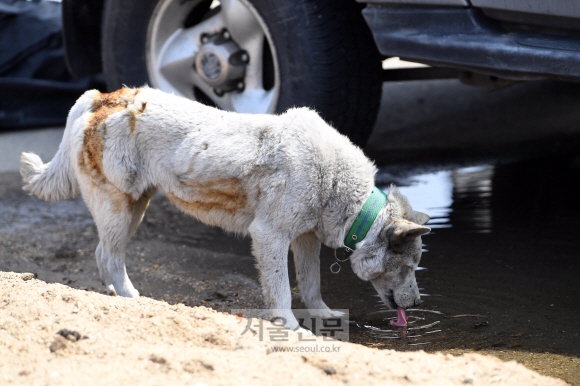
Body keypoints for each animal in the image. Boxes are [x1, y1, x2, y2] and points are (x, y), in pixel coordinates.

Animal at [20, 86, 428, 328]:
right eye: (408, 266)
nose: (416, 305)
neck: (338, 186)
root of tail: (100, 97)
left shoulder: (305, 239)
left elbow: (311, 284)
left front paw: (323, 315)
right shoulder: (270, 236)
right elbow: (282, 291)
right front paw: (291, 327)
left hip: (135, 207)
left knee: (104, 255)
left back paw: (115, 296)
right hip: (119, 210)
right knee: (109, 256)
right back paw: (132, 299)